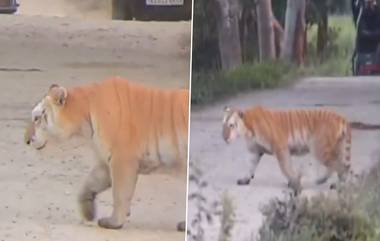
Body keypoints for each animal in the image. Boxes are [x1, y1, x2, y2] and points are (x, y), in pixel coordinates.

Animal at [24, 77, 189, 230]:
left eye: (37, 118)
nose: (26, 140)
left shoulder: (122, 161)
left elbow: (120, 194)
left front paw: (113, 223)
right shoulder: (105, 162)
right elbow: (88, 185)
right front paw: (88, 213)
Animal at [223, 105, 380, 192]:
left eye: (231, 125)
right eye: (223, 125)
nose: (224, 137)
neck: (247, 128)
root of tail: (342, 118)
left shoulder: (280, 147)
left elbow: (286, 167)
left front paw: (294, 183)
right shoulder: (255, 152)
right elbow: (250, 166)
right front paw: (244, 179)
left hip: (319, 148)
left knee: (339, 166)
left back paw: (335, 185)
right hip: (335, 148)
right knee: (340, 166)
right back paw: (327, 181)